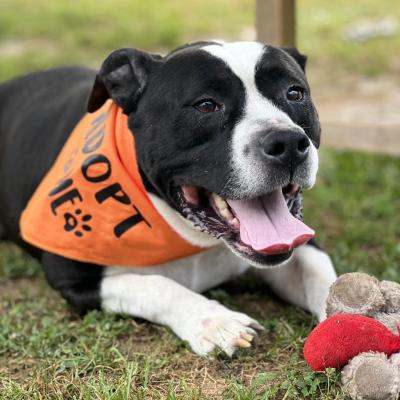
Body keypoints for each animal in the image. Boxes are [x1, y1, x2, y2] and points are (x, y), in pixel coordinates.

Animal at [0, 42, 338, 356]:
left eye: (294, 93)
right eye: (206, 105)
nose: (288, 142)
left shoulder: (300, 243)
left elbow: (324, 277)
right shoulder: (74, 277)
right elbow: (157, 286)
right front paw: (215, 322)